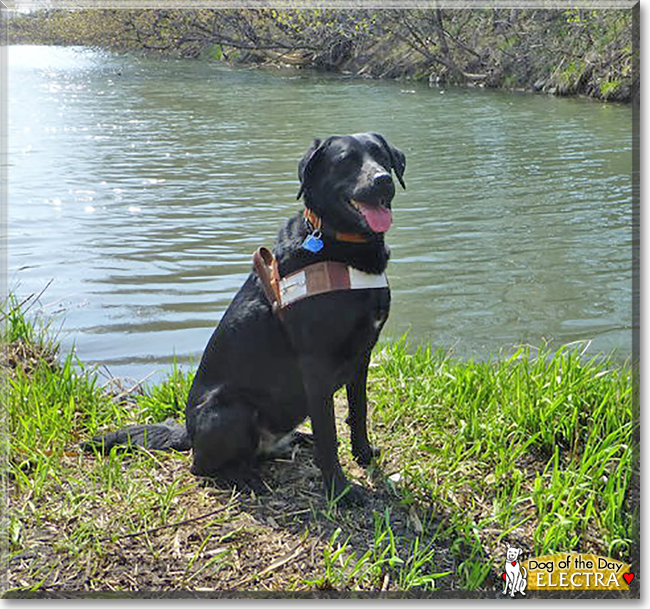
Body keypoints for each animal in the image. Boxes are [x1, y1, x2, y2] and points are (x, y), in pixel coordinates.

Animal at [83, 133, 402, 504]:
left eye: (382, 156)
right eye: (345, 160)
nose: (383, 180)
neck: (339, 246)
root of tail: (188, 433)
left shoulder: (361, 357)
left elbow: (358, 411)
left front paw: (363, 454)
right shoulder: (316, 365)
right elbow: (329, 435)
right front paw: (340, 491)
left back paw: (295, 441)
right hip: (230, 409)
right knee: (202, 467)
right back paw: (244, 477)